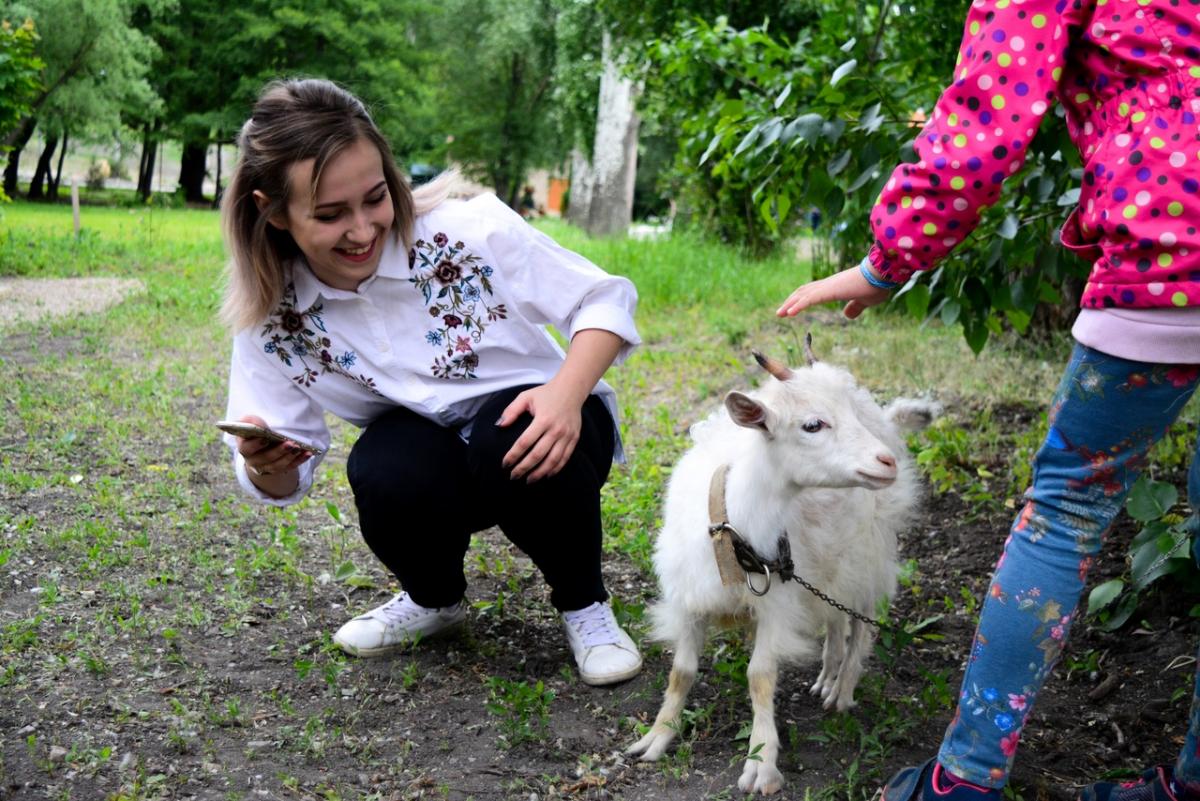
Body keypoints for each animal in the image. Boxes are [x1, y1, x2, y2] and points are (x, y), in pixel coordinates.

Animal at [628, 345, 936, 796]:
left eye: (847, 414)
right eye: (812, 424)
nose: (886, 461)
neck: (731, 532)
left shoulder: (777, 604)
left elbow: (760, 676)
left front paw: (761, 763)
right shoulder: (689, 601)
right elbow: (681, 673)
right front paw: (657, 735)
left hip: (869, 548)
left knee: (863, 618)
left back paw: (842, 689)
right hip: (830, 563)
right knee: (836, 616)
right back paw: (827, 674)